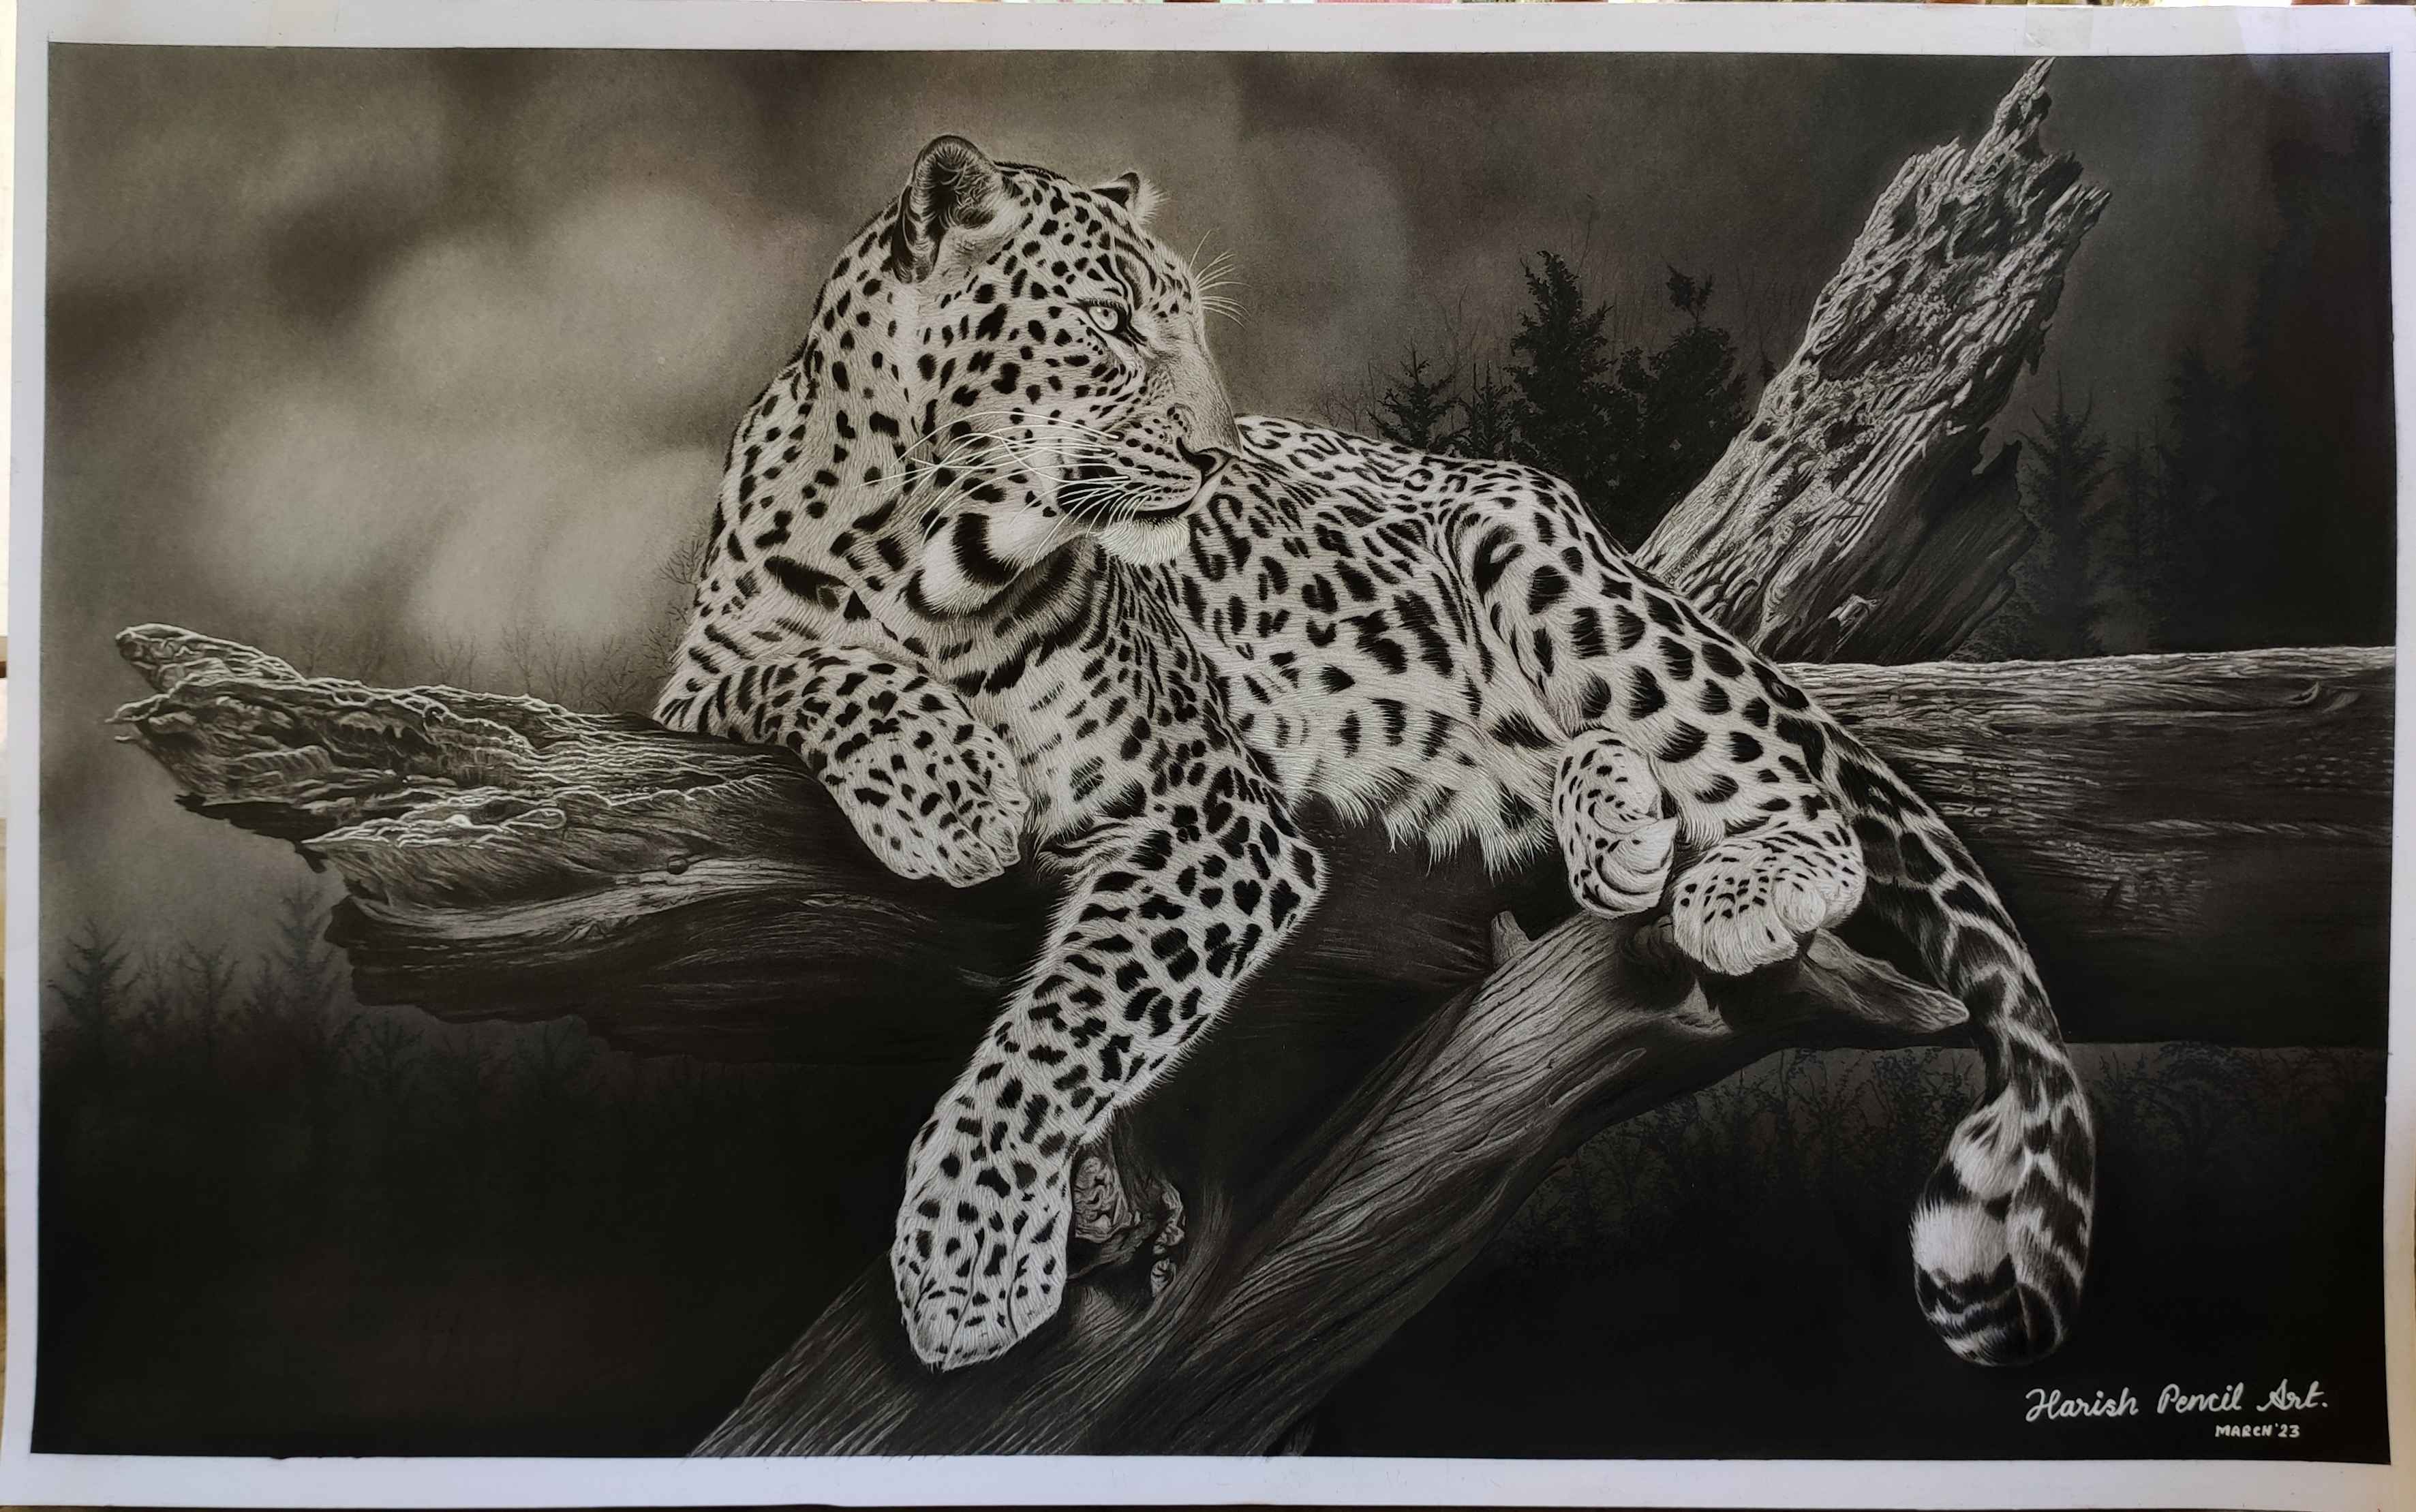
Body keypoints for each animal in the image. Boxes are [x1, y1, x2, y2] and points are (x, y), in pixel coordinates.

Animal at [654, 135, 2096, 1374]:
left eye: (1188, 320)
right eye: (1111, 322)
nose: (1215, 451)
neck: (914, 540)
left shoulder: (1218, 817)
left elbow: (1062, 1027)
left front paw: (966, 1257)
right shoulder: (698, 681)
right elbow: (796, 669)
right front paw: (946, 783)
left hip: (1544, 561)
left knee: (1790, 776)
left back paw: (1743, 876)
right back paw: (1617, 822)